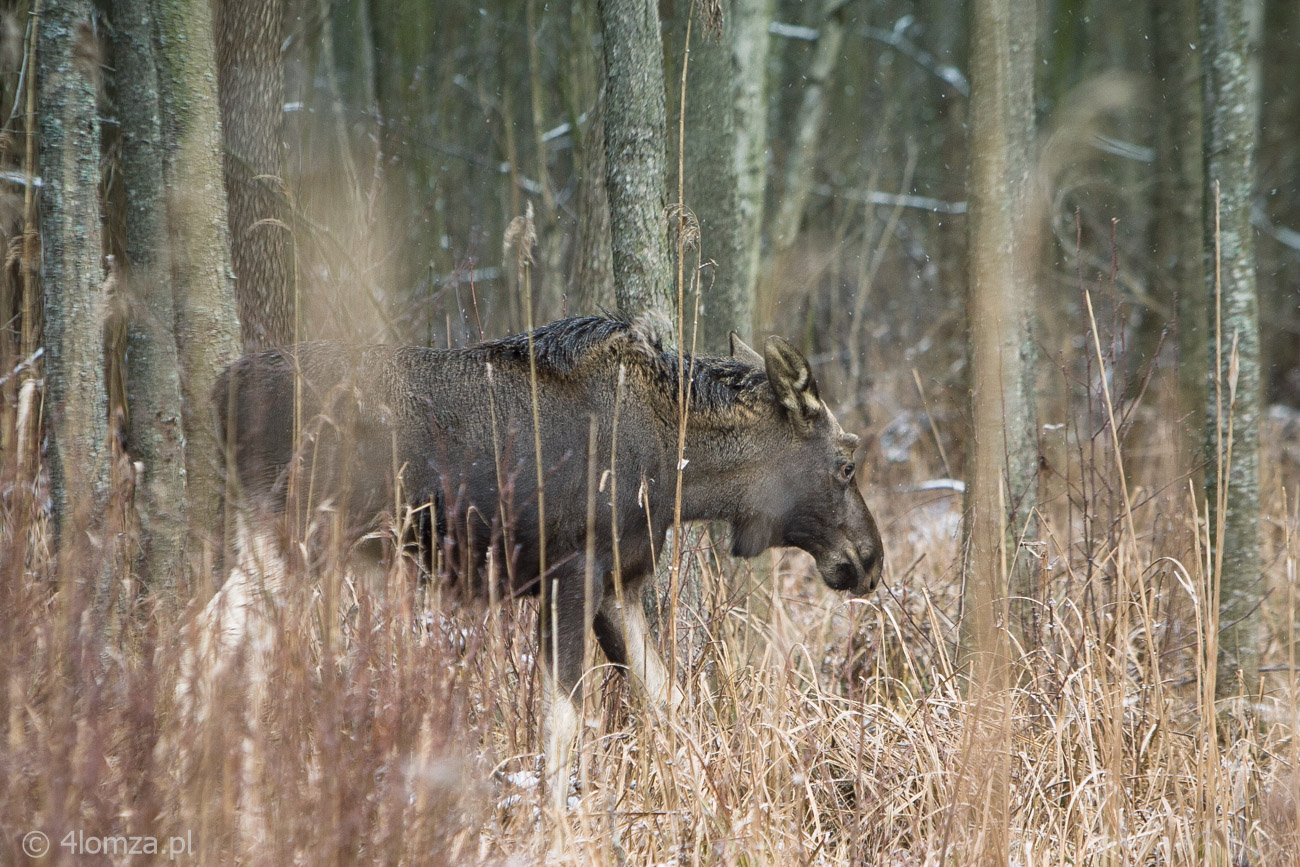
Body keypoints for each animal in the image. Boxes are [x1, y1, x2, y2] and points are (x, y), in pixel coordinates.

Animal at [210, 315, 883, 795]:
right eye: (847, 463)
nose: (870, 560)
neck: (673, 475)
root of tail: (221, 390)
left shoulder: (619, 582)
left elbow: (668, 702)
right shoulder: (571, 572)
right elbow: (562, 723)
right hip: (289, 537)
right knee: (214, 645)